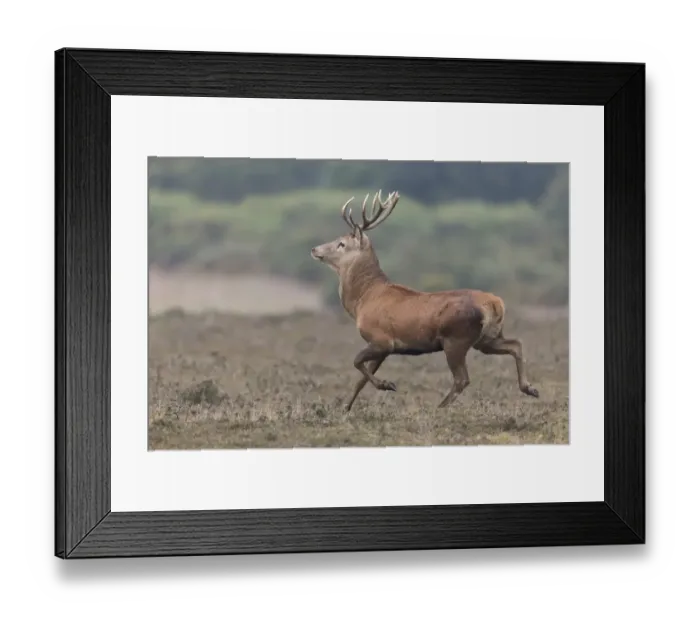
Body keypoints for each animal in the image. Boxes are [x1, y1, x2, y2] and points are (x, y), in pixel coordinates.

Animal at [310, 190, 540, 412]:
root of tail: (495, 303)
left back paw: (438, 409)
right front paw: (345, 408)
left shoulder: (381, 339)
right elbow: (360, 380)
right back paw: (530, 388)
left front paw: (387, 385)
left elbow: (357, 362)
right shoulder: (382, 347)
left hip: (456, 337)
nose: (314, 249)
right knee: (515, 344)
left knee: (462, 379)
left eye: (341, 243)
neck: (361, 301)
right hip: (486, 338)